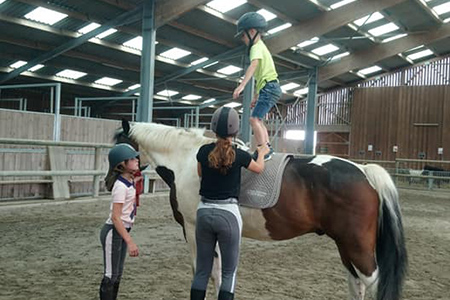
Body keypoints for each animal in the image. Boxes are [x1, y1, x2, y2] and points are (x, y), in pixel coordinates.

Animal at [113, 120, 408, 300]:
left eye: (122, 144)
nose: (109, 180)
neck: (187, 160)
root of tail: (365, 171)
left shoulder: (194, 228)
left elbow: (204, 271)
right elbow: (218, 273)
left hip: (357, 246)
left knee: (373, 283)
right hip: (346, 246)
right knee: (356, 284)